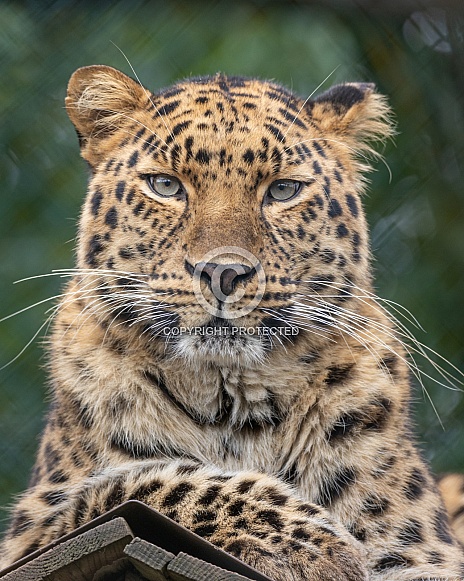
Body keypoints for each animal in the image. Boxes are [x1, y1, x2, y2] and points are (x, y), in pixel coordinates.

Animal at [0, 65, 464, 576]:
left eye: (282, 190)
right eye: (165, 185)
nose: (223, 272)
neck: (233, 405)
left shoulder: (424, 554)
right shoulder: (33, 529)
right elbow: (142, 482)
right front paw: (314, 545)